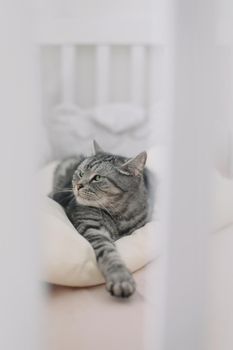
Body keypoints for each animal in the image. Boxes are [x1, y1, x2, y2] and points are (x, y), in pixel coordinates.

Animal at [50, 141, 154, 296]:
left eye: (97, 178)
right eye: (80, 173)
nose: (78, 185)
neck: (119, 214)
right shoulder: (94, 229)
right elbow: (109, 253)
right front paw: (120, 278)